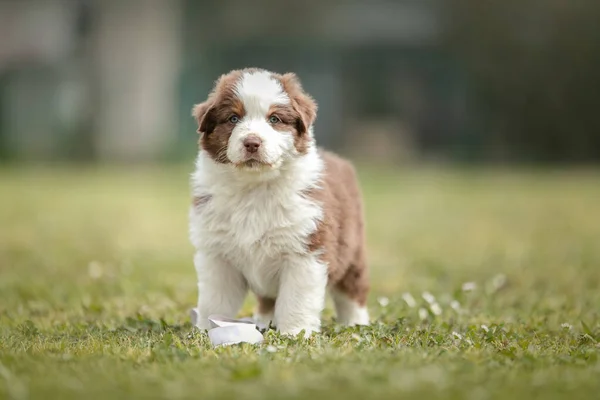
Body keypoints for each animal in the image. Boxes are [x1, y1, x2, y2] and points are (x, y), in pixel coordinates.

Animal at [190, 69, 368, 338]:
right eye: (233, 118)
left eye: (274, 119)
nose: (252, 142)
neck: (255, 189)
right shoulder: (218, 256)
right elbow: (216, 300)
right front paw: (206, 331)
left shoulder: (305, 252)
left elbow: (295, 300)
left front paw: (296, 333)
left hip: (352, 250)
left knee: (352, 289)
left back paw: (356, 323)